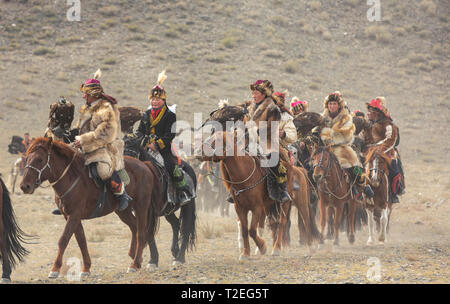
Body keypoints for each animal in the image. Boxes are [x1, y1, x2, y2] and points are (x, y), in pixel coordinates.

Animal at [20, 138, 163, 278]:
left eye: (40, 159)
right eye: (26, 159)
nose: (24, 186)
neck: (71, 177)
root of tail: (145, 165)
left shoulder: (74, 215)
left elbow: (63, 239)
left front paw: (55, 269)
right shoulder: (70, 216)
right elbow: (81, 241)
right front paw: (86, 268)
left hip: (141, 206)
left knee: (141, 232)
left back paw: (134, 264)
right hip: (123, 211)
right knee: (134, 227)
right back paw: (135, 258)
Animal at [121, 137, 197, 268]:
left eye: (134, 154)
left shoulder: (150, 211)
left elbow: (148, 231)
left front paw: (153, 260)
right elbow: (146, 232)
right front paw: (152, 260)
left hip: (188, 206)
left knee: (186, 228)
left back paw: (180, 258)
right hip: (168, 210)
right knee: (175, 223)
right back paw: (175, 251)